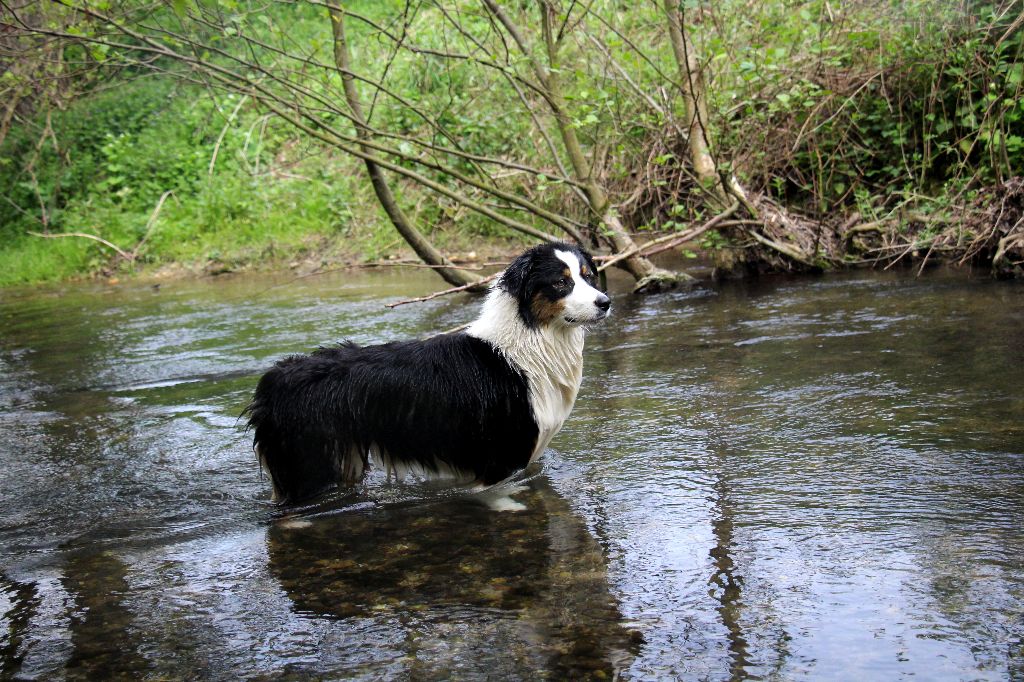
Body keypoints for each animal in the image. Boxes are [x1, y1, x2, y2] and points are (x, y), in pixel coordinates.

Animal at [243, 241, 610, 501]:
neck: (526, 344)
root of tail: (273, 378)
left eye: (588, 276)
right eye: (561, 283)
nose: (605, 302)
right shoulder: (499, 459)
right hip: (309, 466)